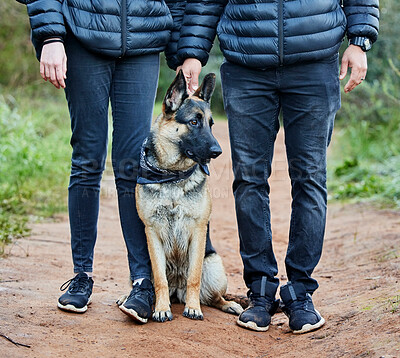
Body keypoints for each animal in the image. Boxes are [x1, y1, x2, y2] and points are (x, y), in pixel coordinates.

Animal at [118, 71, 244, 324]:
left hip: (214, 266)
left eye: (211, 124)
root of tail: (178, 291)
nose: (218, 152)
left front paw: (193, 308)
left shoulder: (198, 230)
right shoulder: (152, 232)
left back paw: (228, 305)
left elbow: (194, 277)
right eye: (194, 122)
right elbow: (159, 280)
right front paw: (161, 308)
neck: (173, 176)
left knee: (214, 298)